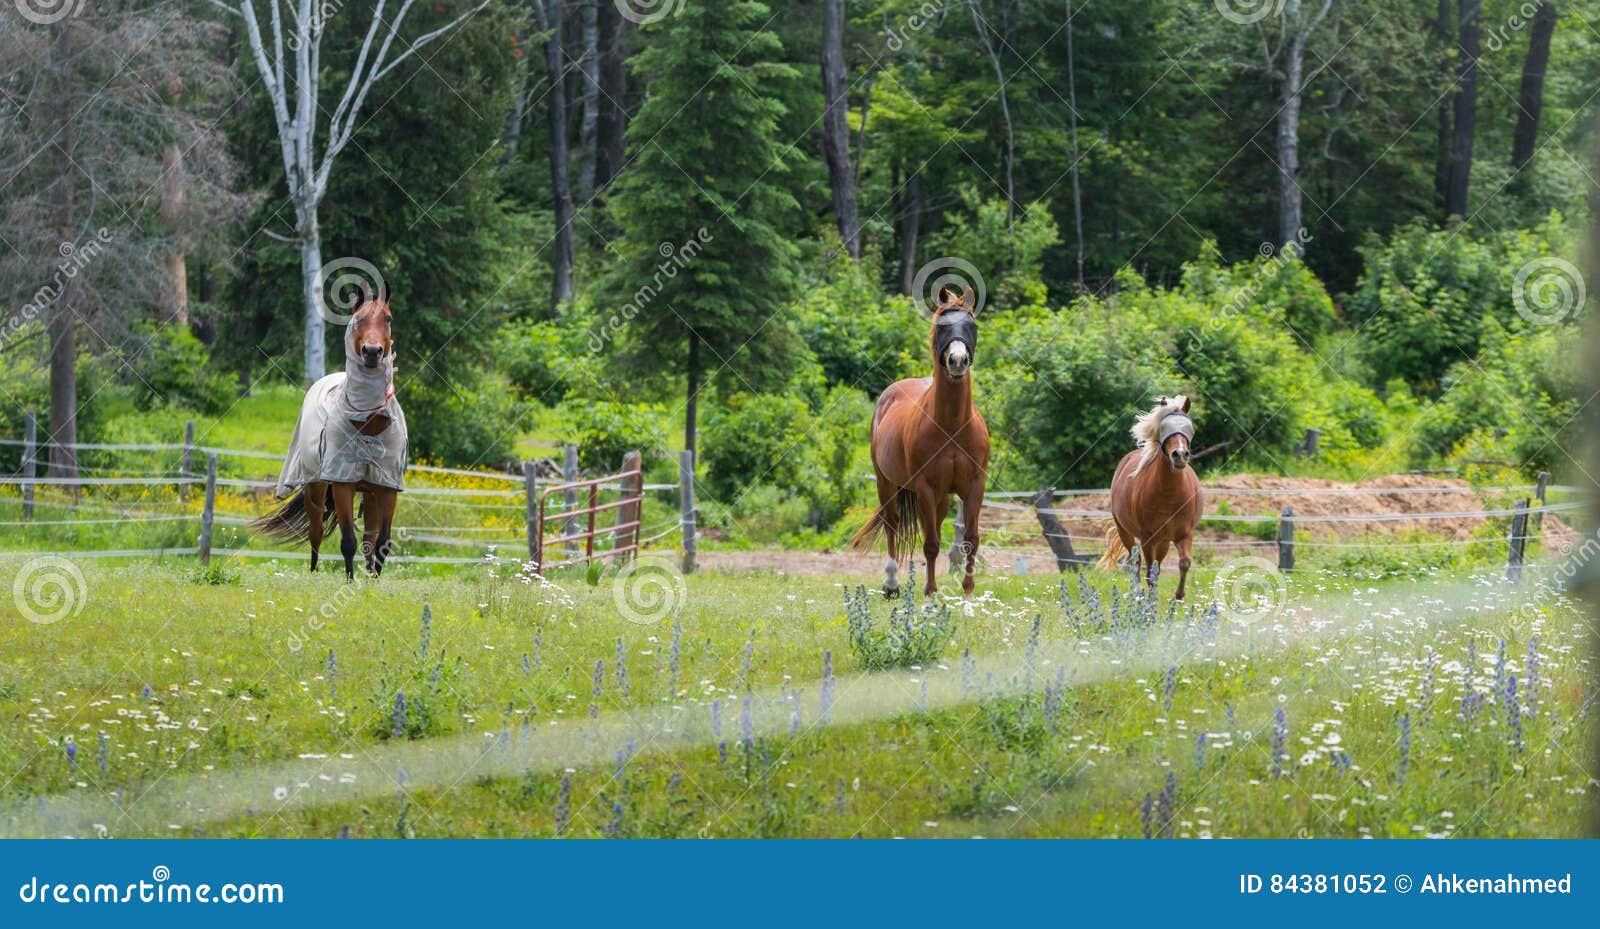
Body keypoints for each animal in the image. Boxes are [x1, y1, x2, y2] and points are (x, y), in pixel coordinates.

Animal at [248, 289, 406, 578]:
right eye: (358, 319)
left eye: (388, 318)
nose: (372, 352)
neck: (369, 422)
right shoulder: (342, 483)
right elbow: (347, 541)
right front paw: (350, 581)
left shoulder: (386, 485)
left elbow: (381, 542)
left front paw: (373, 581)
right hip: (316, 486)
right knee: (316, 532)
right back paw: (313, 572)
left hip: (369, 491)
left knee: (369, 537)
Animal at [851, 286, 985, 598]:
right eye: (941, 327)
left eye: (971, 325)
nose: (957, 361)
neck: (952, 426)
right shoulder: (924, 488)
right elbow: (931, 543)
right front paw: (930, 593)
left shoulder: (975, 486)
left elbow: (970, 539)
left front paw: (968, 593)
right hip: (885, 483)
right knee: (892, 524)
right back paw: (891, 585)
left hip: (942, 497)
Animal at [1100, 393, 1203, 598]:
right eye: (1164, 428)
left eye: (1189, 428)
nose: (1180, 455)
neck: (1170, 494)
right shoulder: (1148, 537)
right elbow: (1148, 570)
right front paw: (1150, 598)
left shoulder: (1184, 534)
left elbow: (1184, 563)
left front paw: (1178, 597)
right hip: (1125, 531)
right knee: (1135, 559)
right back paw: (1138, 592)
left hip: (1163, 541)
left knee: (1157, 563)